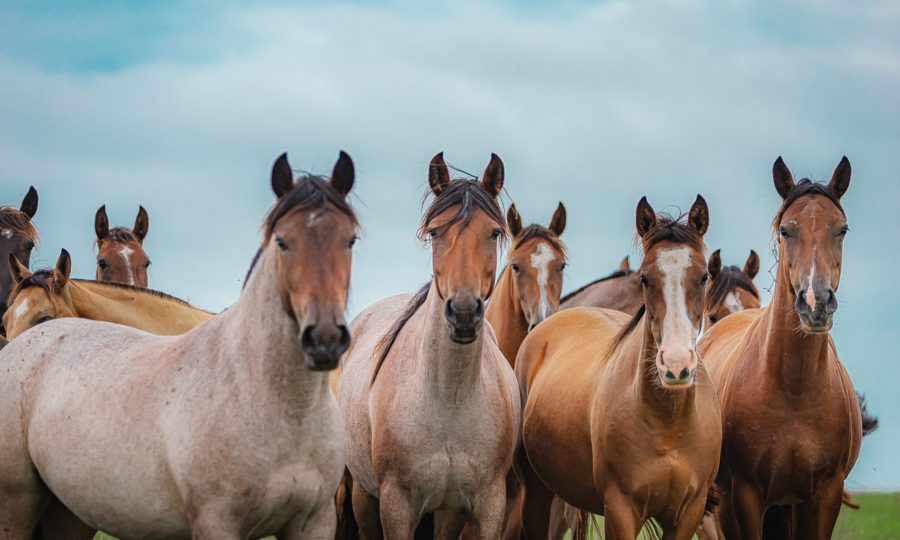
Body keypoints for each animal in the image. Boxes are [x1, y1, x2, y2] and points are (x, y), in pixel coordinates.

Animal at [337, 152, 520, 539]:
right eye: (435, 232)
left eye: (494, 232)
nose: (463, 313)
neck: (449, 400)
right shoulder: (396, 506)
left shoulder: (487, 507)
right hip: (363, 496)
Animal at [515, 195, 721, 540]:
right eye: (645, 278)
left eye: (704, 276)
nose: (676, 365)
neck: (670, 423)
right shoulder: (621, 509)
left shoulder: (689, 512)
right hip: (536, 493)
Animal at [699, 156, 861, 539]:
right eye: (786, 230)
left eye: (842, 229)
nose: (816, 302)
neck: (793, 390)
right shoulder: (745, 496)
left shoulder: (823, 497)